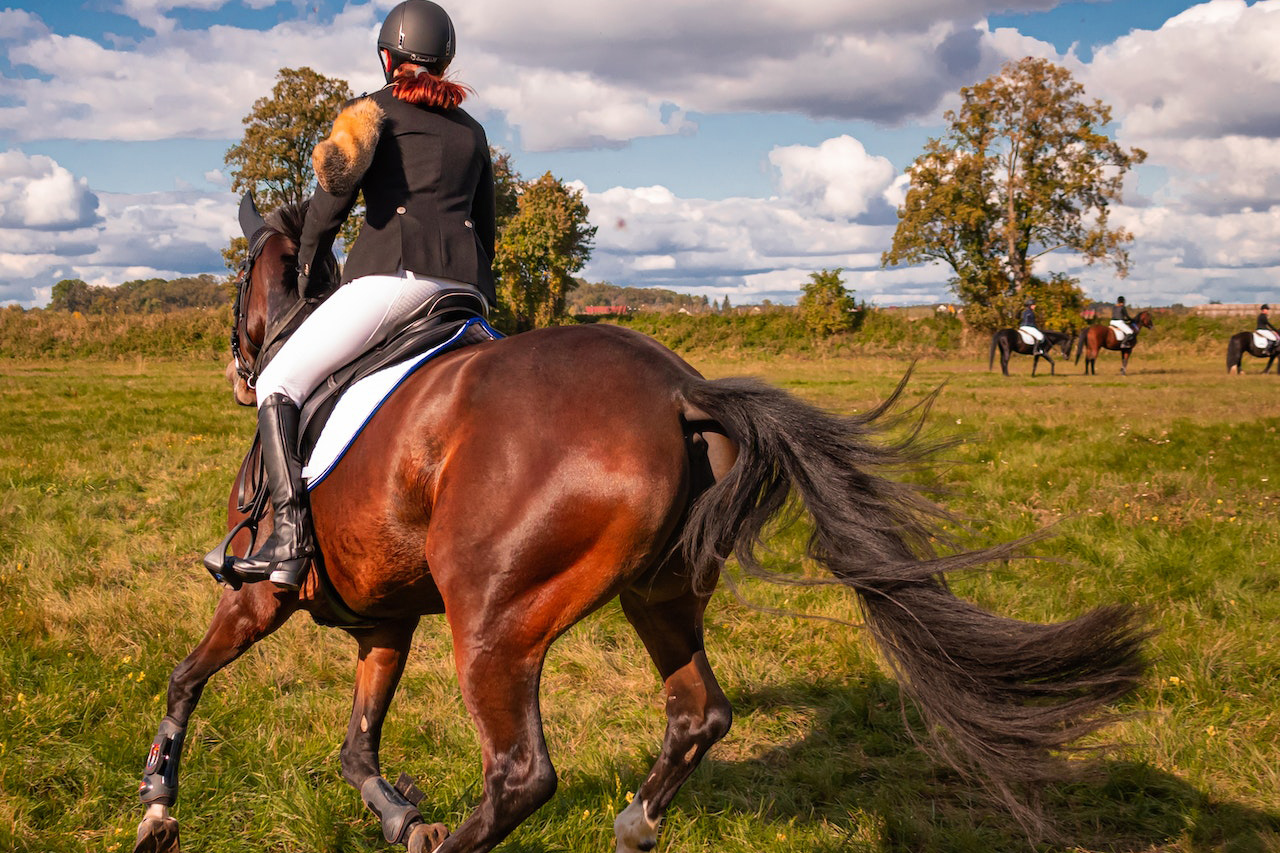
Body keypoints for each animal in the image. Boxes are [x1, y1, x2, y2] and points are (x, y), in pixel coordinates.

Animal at [134, 201, 1148, 853]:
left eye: (236, 277)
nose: (238, 368)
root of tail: (678, 392)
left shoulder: (263, 598)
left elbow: (186, 676)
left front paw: (157, 806)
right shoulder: (382, 619)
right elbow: (356, 745)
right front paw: (397, 816)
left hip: (494, 621)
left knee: (522, 774)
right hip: (659, 595)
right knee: (699, 712)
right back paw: (632, 825)